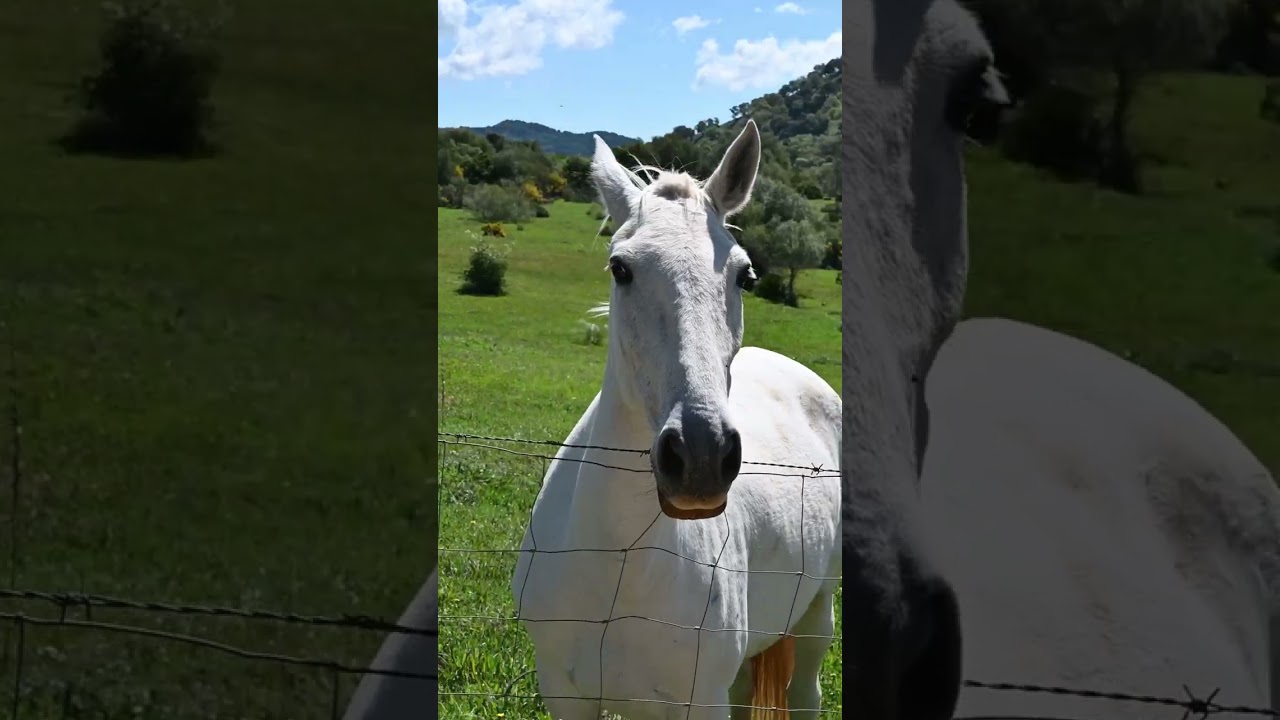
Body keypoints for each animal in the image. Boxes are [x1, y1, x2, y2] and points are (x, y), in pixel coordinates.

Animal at [508, 120, 842, 720]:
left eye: (745, 274)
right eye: (620, 268)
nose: (702, 456)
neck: (619, 561)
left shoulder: (698, 700)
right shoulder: (564, 693)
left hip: (816, 614)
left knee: (807, 693)